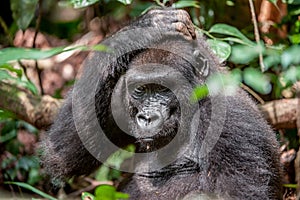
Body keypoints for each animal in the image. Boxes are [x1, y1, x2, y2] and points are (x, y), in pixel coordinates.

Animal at [40, 9, 284, 198]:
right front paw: (147, 26)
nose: (147, 117)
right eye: (140, 90)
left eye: (165, 89)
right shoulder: (120, 96)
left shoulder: (233, 126)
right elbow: (64, 153)